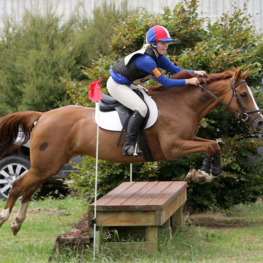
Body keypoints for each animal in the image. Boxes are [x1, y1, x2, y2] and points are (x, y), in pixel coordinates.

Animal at [0, 67, 263, 235]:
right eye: (242, 95)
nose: (259, 123)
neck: (182, 104)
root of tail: (43, 116)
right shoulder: (173, 146)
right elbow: (210, 145)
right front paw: (200, 174)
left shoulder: (188, 139)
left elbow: (215, 144)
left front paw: (202, 174)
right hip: (47, 164)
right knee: (18, 185)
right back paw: (5, 219)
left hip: (48, 165)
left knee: (29, 188)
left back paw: (17, 223)